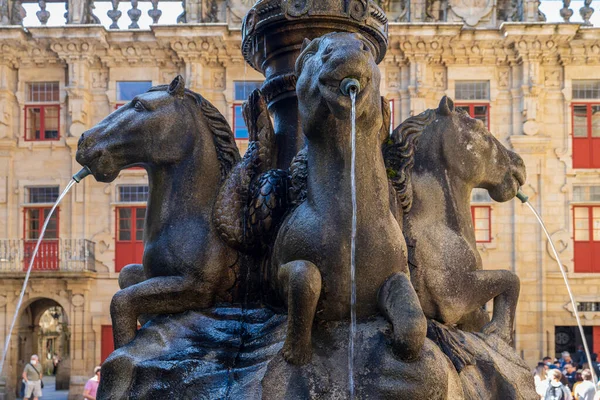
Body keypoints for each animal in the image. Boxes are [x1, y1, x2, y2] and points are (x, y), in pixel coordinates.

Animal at [76, 76, 240, 348]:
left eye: (138, 105)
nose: (83, 140)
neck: (198, 216)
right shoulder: (152, 275)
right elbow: (126, 277)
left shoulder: (198, 286)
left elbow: (121, 301)